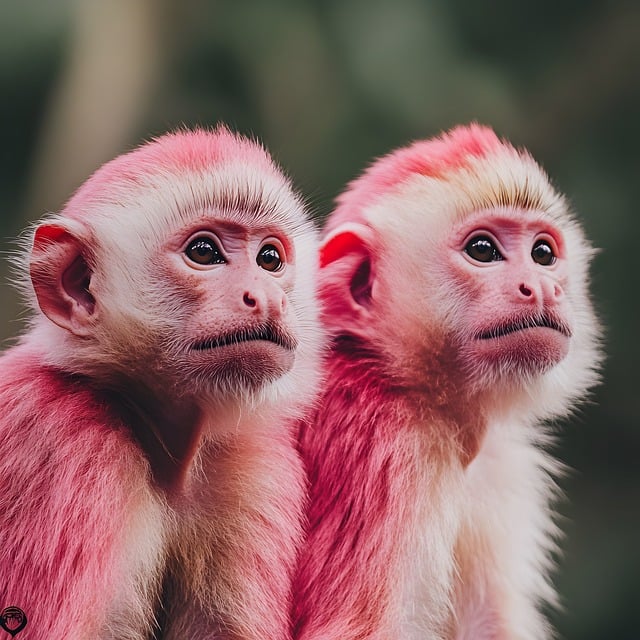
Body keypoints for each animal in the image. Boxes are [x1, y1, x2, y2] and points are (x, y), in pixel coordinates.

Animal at [0, 126, 324, 640]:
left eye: (270, 258)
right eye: (204, 252)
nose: (267, 296)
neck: (160, 450)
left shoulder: (248, 473)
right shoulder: (60, 442)